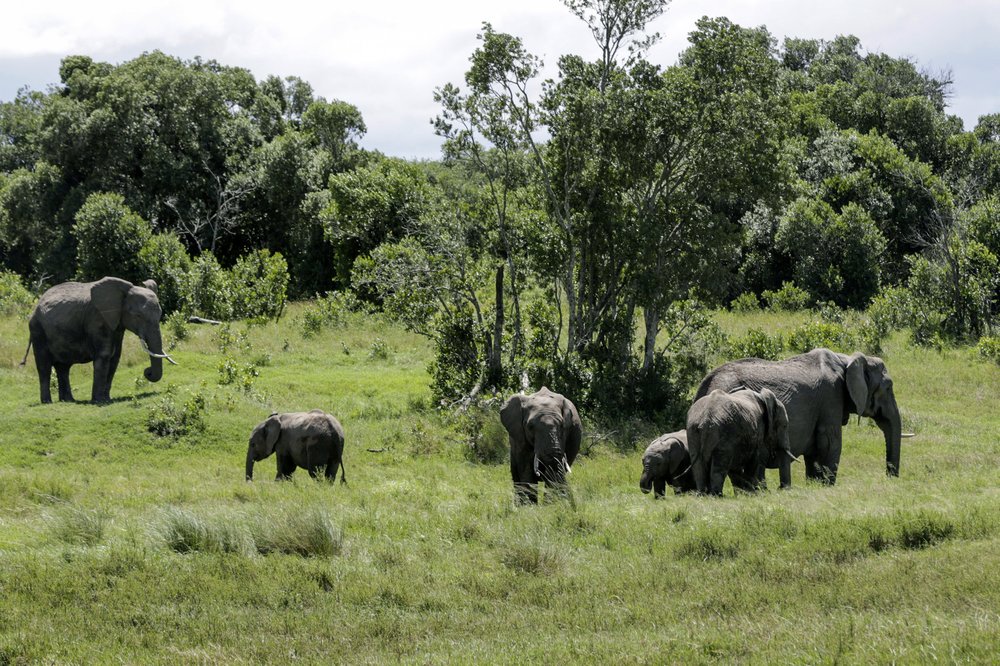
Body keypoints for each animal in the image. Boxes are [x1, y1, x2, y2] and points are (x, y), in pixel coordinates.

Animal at [22, 277, 176, 404]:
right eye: (138, 316)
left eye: (160, 314)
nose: (147, 372)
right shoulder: (97, 320)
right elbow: (104, 356)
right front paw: (99, 401)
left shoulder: (117, 325)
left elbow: (115, 358)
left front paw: (107, 399)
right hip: (37, 330)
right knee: (44, 366)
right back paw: (47, 402)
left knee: (63, 367)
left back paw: (68, 400)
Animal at [695, 348, 906, 484]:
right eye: (889, 387)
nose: (889, 478)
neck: (846, 359)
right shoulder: (831, 398)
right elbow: (830, 444)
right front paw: (826, 487)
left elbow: (815, 451)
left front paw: (814, 486)